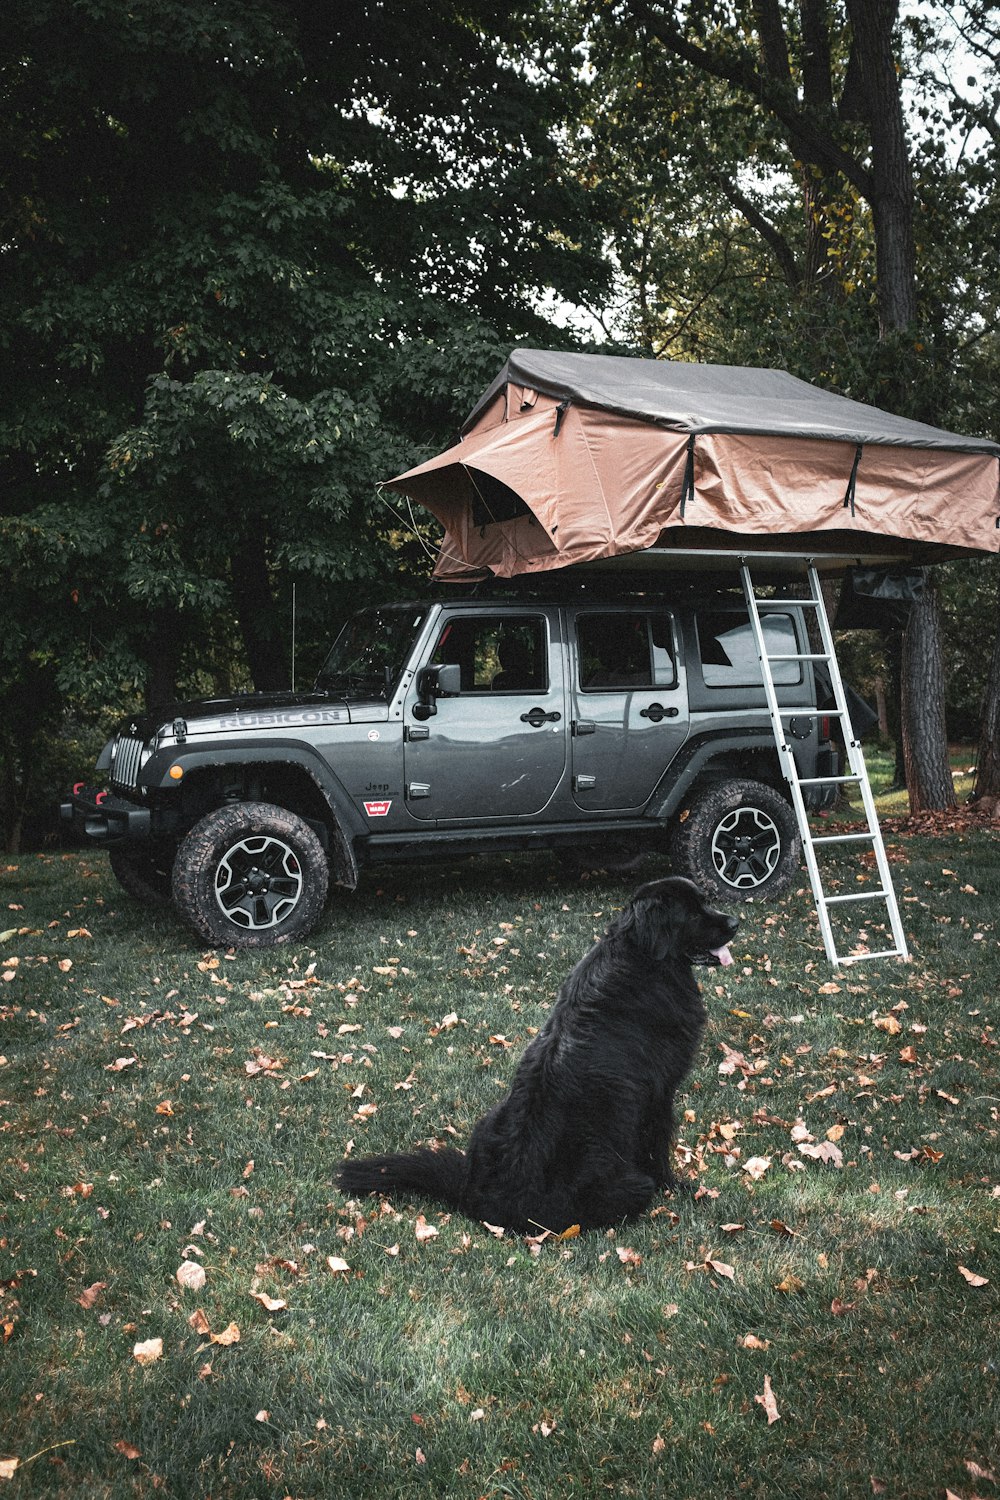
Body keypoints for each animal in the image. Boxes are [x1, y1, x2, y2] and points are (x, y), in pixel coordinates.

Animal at [335, 876, 734, 1236]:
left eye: (705, 902)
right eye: (694, 913)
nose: (735, 923)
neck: (642, 959)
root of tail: (479, 1201)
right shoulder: (658, 1094)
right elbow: (657, 1148)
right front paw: (677, 1186)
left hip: (488, 1120)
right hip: (628, 1184)